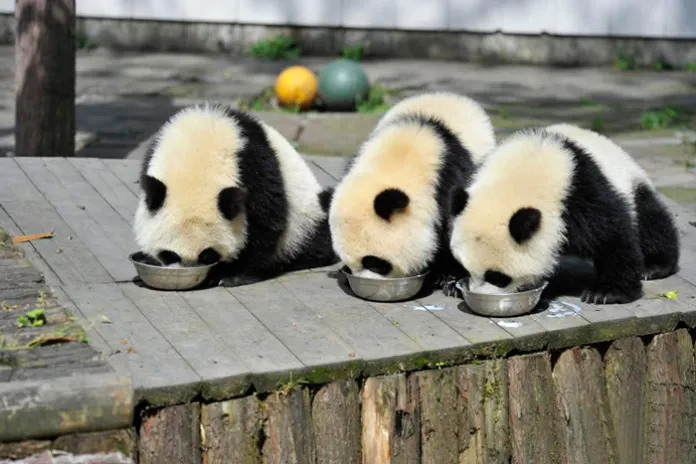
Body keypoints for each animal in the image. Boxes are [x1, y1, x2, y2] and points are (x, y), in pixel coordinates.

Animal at [133, 104, 338, 288]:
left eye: (208, 255)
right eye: (170, 254)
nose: (192, 273)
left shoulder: (251, 165)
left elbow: (266, 219)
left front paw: (235, 275)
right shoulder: (154, 154)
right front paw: (150, 259)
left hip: (306, 217)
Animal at [446, 123, 680, 304]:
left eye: (498, 277)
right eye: (465, 267)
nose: (478, 293)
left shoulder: (578, 195)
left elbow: (611, 234)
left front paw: (608, 292)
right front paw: (452, 283)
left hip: (631, 183)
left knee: (650, 220)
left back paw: (654, 266)